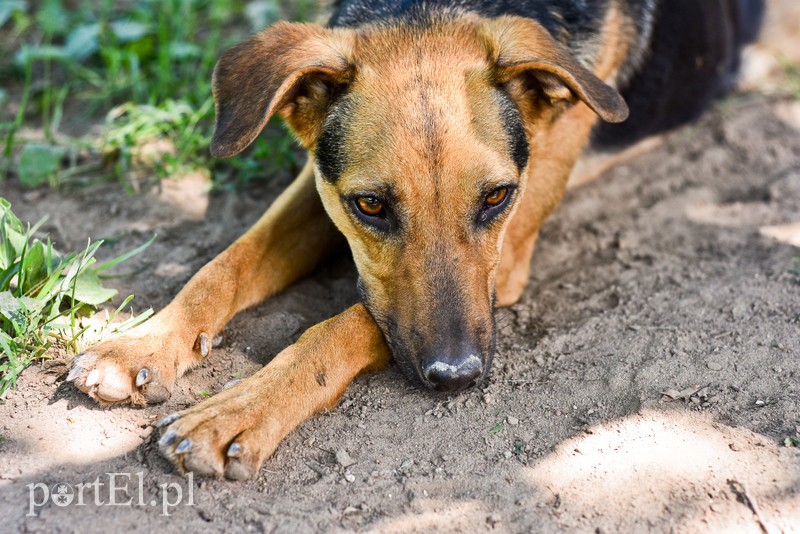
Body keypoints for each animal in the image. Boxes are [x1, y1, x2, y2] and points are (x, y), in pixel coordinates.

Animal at [65, 0, 760, 482]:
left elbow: (342, 325)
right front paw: (140, 345)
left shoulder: (508, 255)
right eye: (370, 205)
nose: (457, 377)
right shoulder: (320, 184)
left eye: (497, 197)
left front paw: (235, 412)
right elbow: (227, 263)